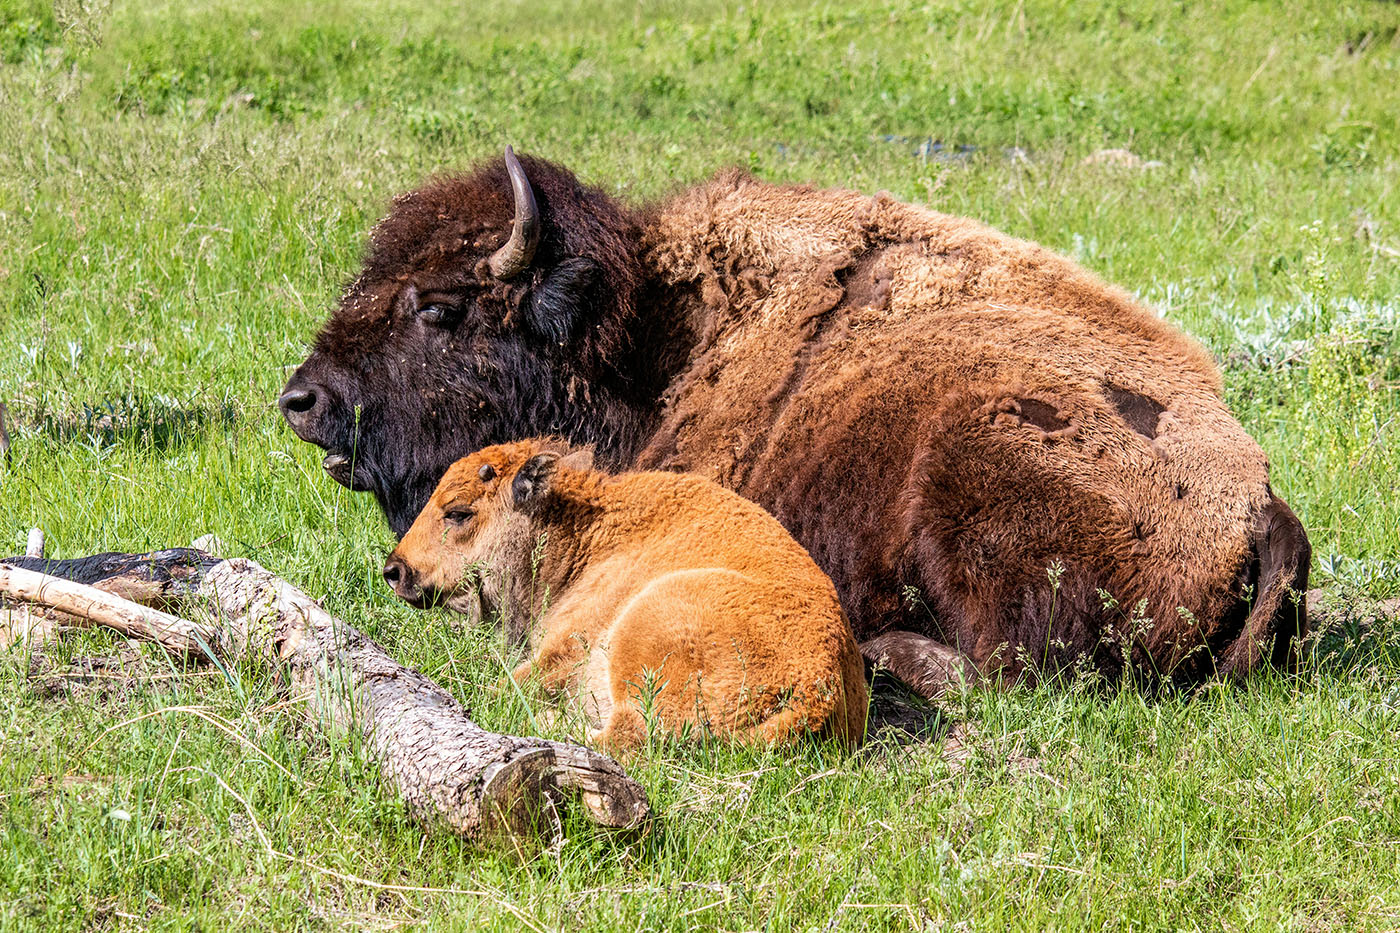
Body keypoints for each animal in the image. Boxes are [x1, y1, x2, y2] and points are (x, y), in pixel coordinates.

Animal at [278, 147, 1304, 689]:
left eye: (440, 307)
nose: (301, 400)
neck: (656, 343)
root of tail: (1258, 505)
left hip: (968, 478)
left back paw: (885, 648)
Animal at [378, 437, 868, 750]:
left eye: (458, 512)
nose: (393, 570)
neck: (586, 530)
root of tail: (817, 687)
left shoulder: (564, 647)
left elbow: (504, 684)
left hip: (644, 635)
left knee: (623, 737)